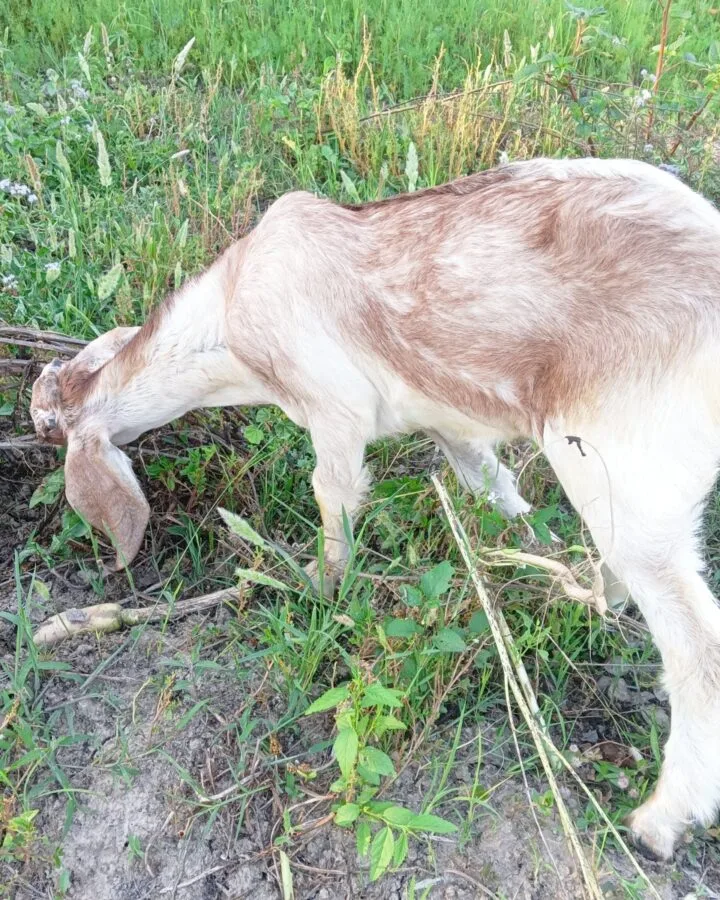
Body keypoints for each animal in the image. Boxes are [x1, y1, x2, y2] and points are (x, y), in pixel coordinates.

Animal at [30, 157, 720, 860]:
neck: (225, 322)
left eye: (49, 425)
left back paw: (660, 819)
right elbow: (492, 485)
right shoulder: (447, 420)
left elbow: (331, 494)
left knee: (698, 646)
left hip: (626, 468)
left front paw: (320, 584)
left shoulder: (335, 406)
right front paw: (532, 557)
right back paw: (591, 596)